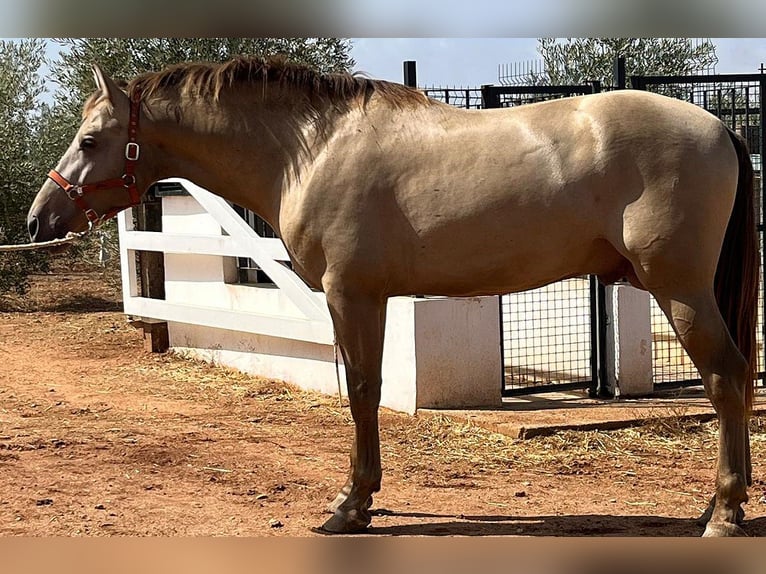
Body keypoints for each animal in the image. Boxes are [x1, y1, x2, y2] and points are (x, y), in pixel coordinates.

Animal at [27, 56, 760, 536]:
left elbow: (361, 391)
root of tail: (719, 127)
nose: (38, 219)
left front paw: (351, 506)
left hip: (681, 289)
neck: (310, 148)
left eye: (90, 139)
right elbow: (363, 389)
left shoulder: (353, 294)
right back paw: (715, 505)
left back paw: (723, 514)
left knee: (726, 379)